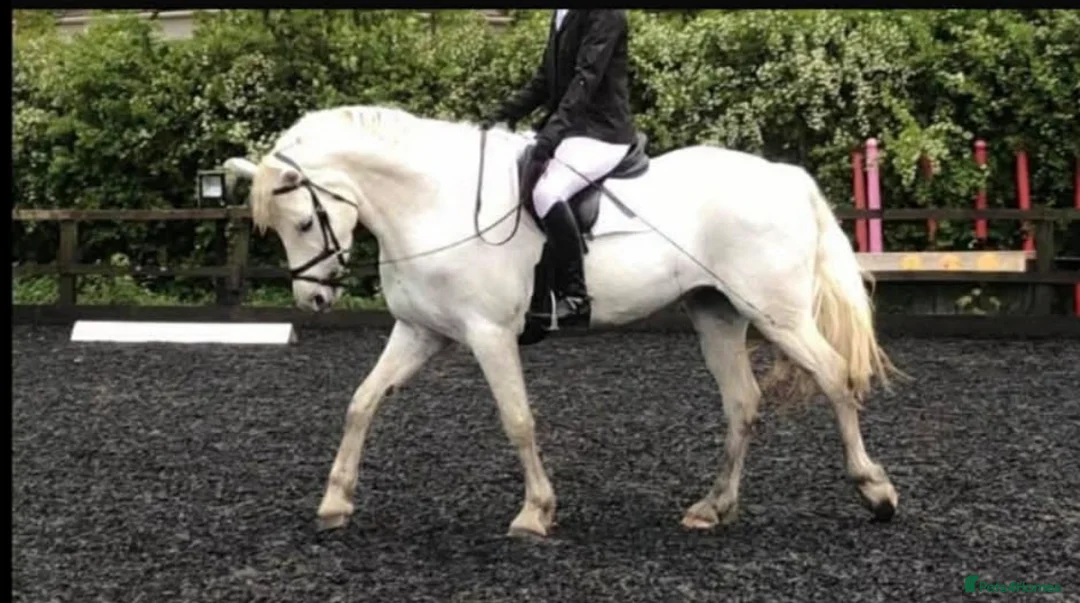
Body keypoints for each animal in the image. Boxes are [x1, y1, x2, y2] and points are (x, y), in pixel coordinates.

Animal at [223, 104, 902, 538]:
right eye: (277, 228)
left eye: (304, 221)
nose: (313, 302)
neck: (432, 202)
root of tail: (788, 178)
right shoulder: (421, 333)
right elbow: (362, 403)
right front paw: (334, 502)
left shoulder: (489, 334)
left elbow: (518, 420)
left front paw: (534, 513)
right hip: (718, 315)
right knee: (743, 403)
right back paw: (713, 508)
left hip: (778, 314)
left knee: (836, 379)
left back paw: (876, 492)